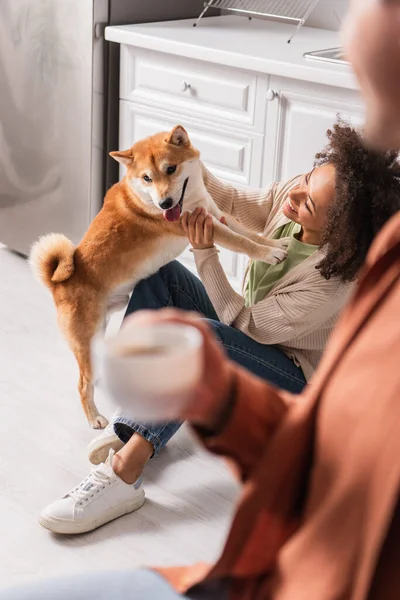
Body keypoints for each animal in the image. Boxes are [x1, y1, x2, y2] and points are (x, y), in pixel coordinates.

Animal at [31, 125, 288, 426]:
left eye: (171, 169)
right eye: (147, 178)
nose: (165, 204)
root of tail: (58, 284)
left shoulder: (215, 214)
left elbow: (246, 233)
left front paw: (276, 243)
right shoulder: (207, 225)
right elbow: (240, 241)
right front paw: (269, 254)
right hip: (87, 340)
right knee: (83, 384)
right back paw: (95, 418)